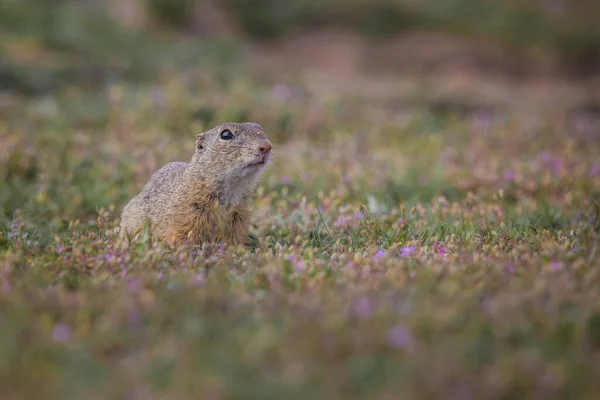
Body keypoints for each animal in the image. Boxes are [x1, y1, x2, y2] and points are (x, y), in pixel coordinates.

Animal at [119, 122, 272, 247]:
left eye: (260, 129)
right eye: (226, 134)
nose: (267, 146)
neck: (232, 188)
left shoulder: (239, 215)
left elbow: (234, 238)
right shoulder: (189, 211)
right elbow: (183, 235)